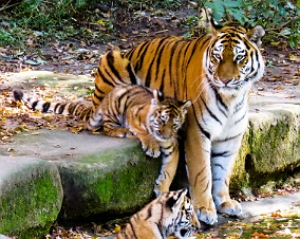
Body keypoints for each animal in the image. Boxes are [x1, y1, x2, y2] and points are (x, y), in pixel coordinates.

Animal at [92, 22, 264, 224]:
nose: (225, 80)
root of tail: (131, 48)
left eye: (239, 57)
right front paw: (205, 208)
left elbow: (223, 171)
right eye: (217, 56)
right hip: (112, 61)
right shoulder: (197, 132)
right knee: (105, 121)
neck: (231, 99)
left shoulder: (231, 137)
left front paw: (225, 202)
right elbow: (202, 172)